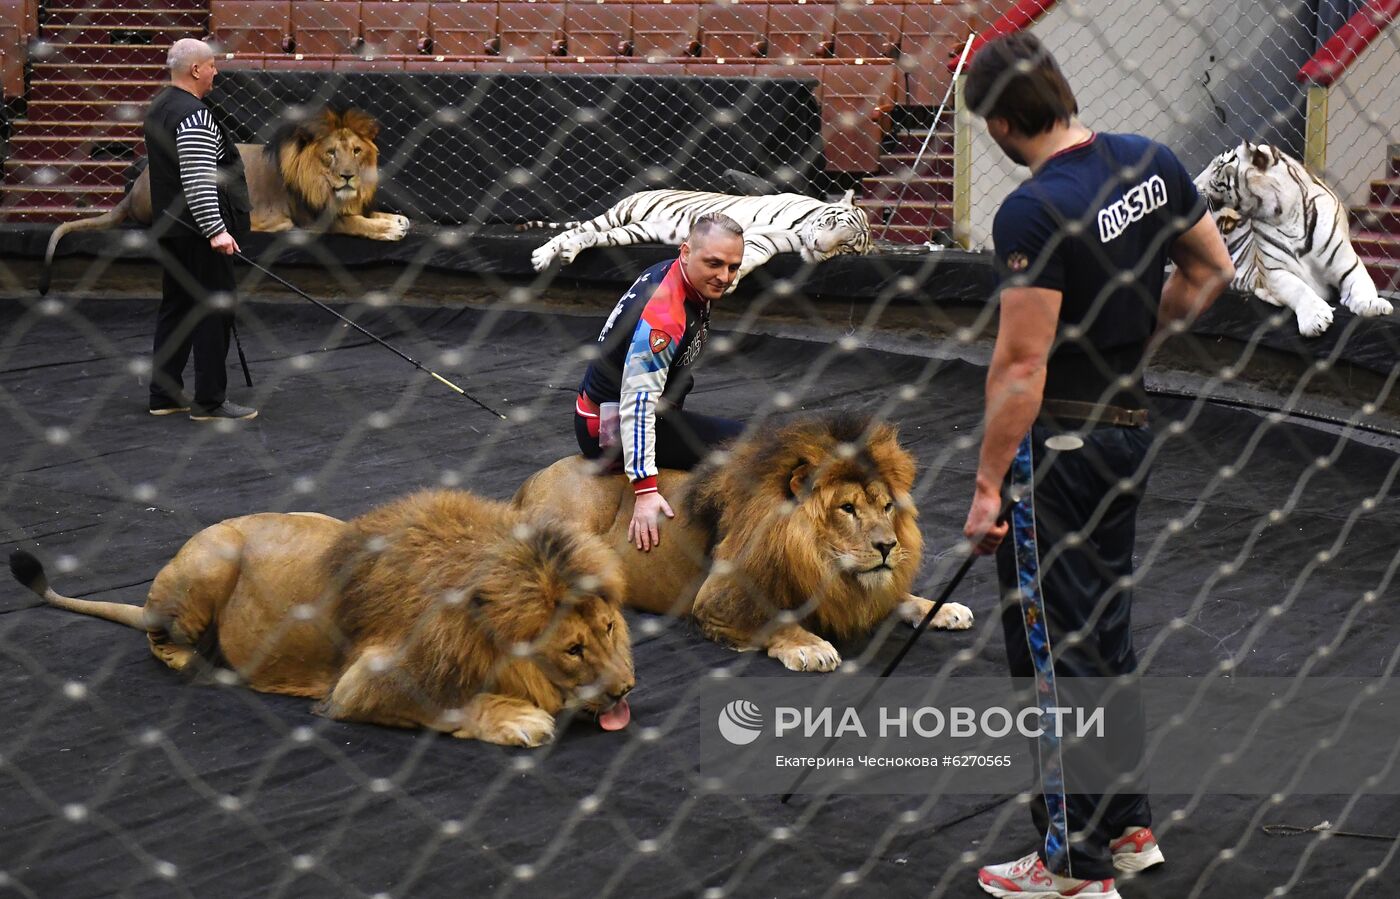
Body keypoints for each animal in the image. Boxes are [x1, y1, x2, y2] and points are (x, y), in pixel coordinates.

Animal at [9, 487, 635, 744]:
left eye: (608, 629)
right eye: (573, 649)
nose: (625, 689)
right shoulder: (366, 680)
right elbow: (452, 702)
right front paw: (519, 718)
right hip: (211, 563)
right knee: (156, 636)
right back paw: (197, 662)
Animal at [38, 105, 408, 294]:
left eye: (356, 151)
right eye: (331, 153)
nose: (348, 176)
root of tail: (133, 191)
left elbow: (373, 214)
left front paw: (397, 220)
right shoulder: (313, 221)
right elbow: (356, 223)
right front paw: (389, 230)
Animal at [515, 408, 974, 669]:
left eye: (887, 507)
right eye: (847, 508)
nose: (887, 547)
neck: (818, 560)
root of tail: (533, 478)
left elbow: (899, 597)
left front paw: (941, 608)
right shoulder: (714, 602)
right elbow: (771, 621)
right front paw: (810, 647)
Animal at [526, 187, 873, 287]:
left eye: (846, 246)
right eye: (831, 222)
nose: (818, 246)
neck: (799, 233)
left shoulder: (767, 242)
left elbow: (752, 256)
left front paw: (732, 279)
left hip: (634, 231)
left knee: (591, 238)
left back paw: (569, 251)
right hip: (618, 216)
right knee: (574, 230)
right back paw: (542, 256)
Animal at [1192, 140, 1388, 336]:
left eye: (1217, 166)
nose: (1193, 184)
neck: (1286, 215)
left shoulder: (1347, 263)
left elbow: (1362, 282)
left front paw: (1373, 304)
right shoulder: (1274, 272)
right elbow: (1299, 289)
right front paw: (1315, 319)